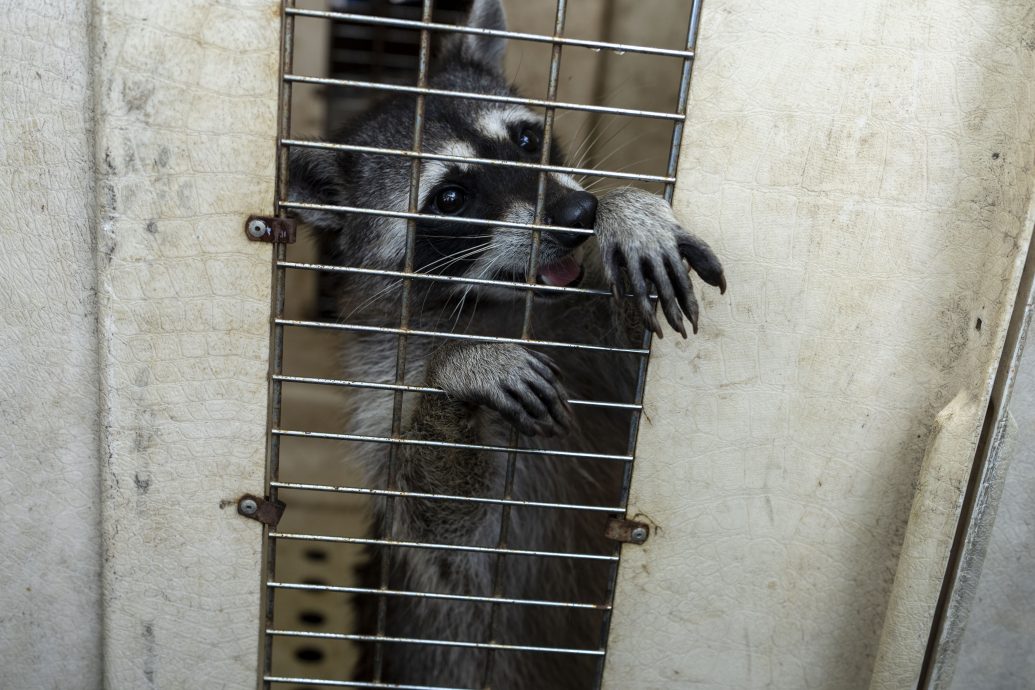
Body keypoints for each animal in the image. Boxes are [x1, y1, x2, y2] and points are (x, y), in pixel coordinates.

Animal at [287, 2, 724, 686]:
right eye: (452, 197)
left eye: (523, 140)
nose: (577, 215)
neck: (506, 307)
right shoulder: (383, 388)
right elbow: (444, 528)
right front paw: (460, 372)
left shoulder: (589, 348)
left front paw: (626, 212)